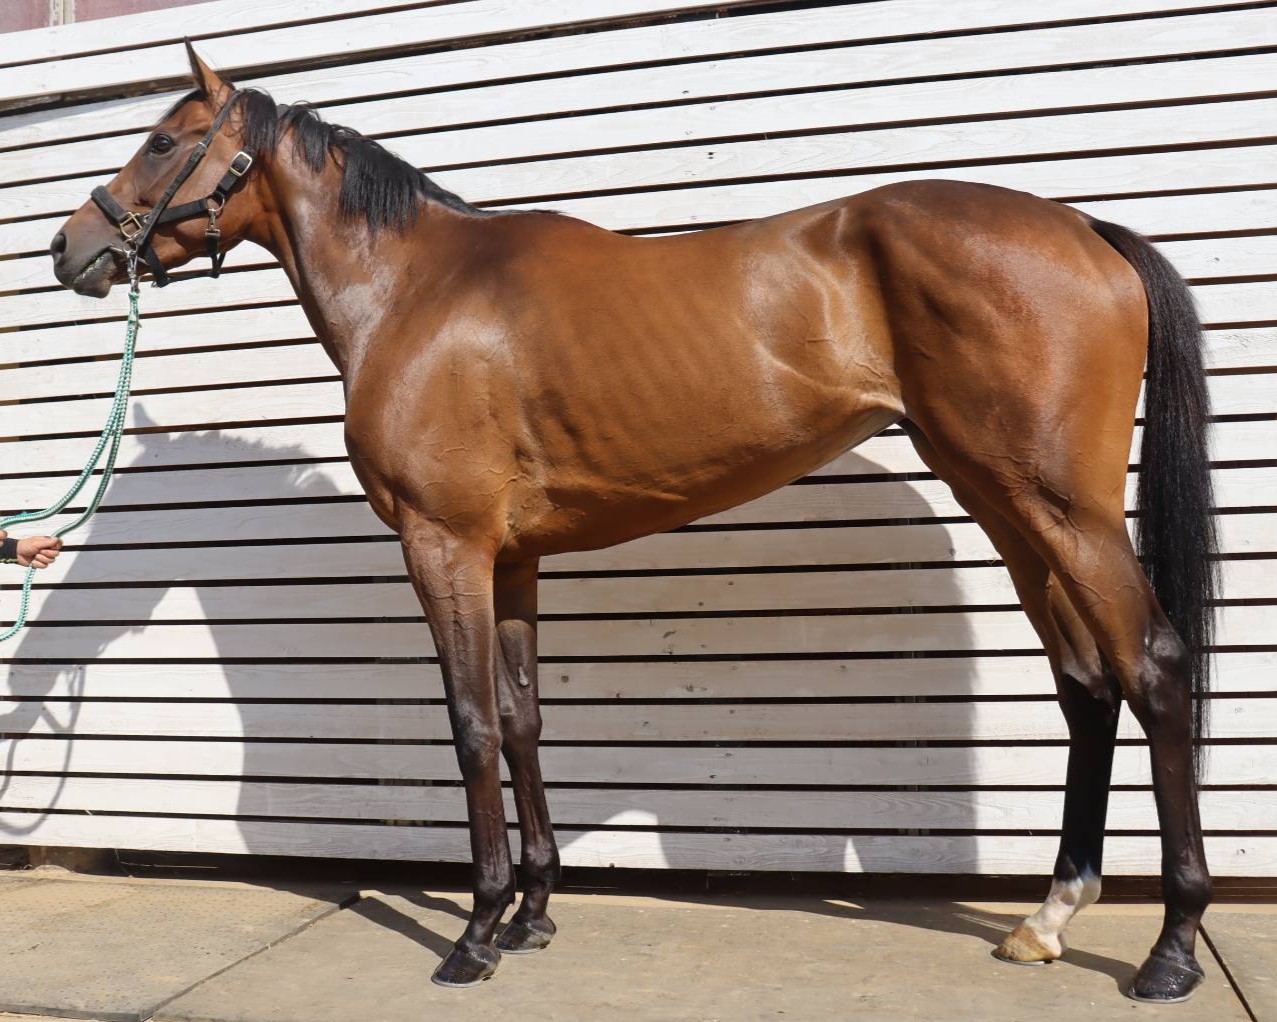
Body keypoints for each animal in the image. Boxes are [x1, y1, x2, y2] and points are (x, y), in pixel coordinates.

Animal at [48, 45, 1216, 1002]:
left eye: (161, 141)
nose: (71, 249)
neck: (417, 290)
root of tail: (1082, 228)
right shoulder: (512, 559)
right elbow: (521, 720)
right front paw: (532, 914)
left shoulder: (444, 545)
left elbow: (470, 725)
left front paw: (473, 934)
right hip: (1006, 505)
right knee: (1086, 685)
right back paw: (1047, 918)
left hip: (1063, 510)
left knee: (1154, 667)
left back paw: (1168, 950)